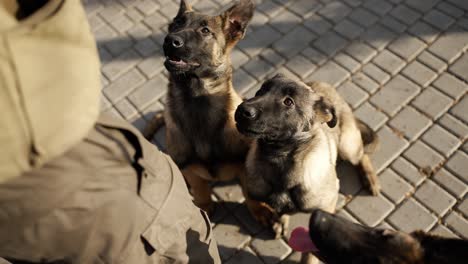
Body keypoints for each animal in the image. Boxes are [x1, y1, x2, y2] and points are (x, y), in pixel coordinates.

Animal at [143, 0, 274, 221]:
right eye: (176, 23)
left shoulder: (245, 167)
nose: (170, 40)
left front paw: (260, 210)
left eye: (205, 31)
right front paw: (204, 206)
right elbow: (201, 188)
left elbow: (250, 192)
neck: (197, 101)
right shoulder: (190, 170)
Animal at [234, 74, 380, 262]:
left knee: (362, 154)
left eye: (288, 102)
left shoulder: (326, 207)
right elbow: (281, 209)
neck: (280, 161)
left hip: (348, 147)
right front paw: (282, 219)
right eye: (260, 91)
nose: (241, 109)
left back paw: (370, 178)